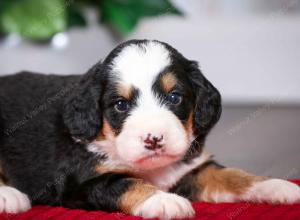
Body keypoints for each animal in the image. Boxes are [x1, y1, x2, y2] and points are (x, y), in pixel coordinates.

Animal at [0, 39, 300, 218]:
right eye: (121, 105)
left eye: (174, 97)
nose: (154, 139)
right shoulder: (81, 183)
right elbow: (126, 183)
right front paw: (162, 200)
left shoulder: (191, 170)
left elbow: (232, 175)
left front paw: (275, 185)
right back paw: (9, 196)